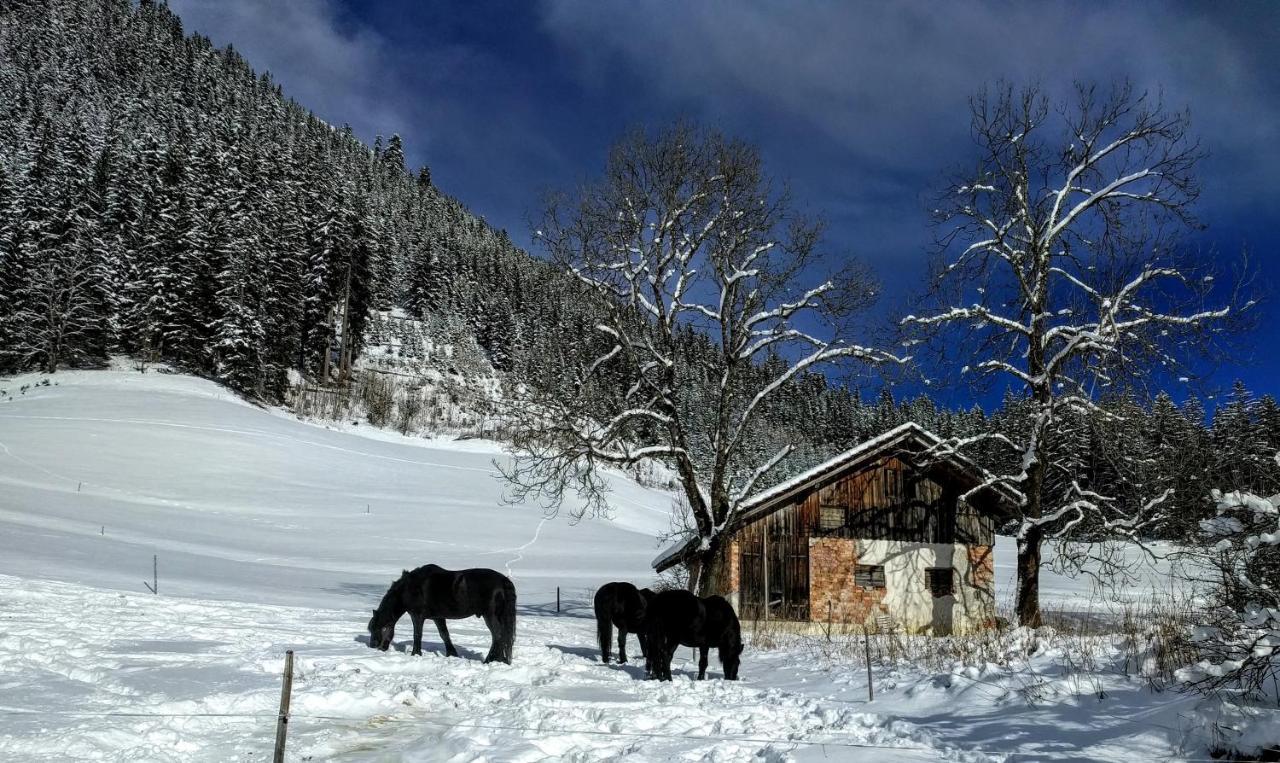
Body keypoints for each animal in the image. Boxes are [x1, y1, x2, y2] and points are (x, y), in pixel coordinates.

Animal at [366, 563, 514, 665]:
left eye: (377, 629)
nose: (374, 646)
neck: (409, 587)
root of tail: (503, 581)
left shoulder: (417, 616)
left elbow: (417, 635)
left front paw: (416, 654)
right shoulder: (438, 617)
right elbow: (444, 635)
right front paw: (452, 654)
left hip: (490, 616)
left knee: (498, 636)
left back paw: (490, 660)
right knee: (503, 637)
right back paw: (502, 660)